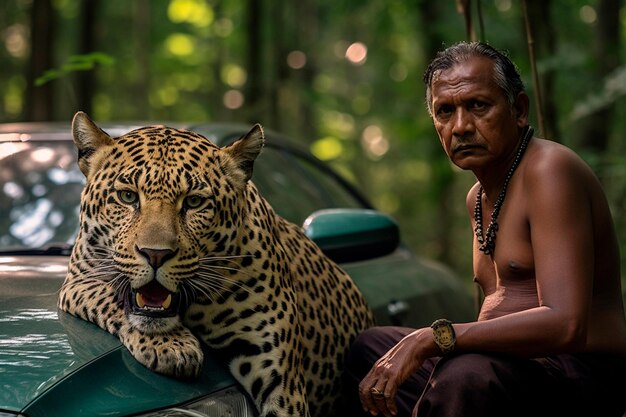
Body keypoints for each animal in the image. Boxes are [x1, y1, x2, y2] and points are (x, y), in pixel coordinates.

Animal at [56, 110, 372, 416]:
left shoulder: (283, 387)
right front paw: (173, 347)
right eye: (127, 196)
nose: (155, 254)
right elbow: (107, 296)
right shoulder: (77, 281)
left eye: (194, 202)